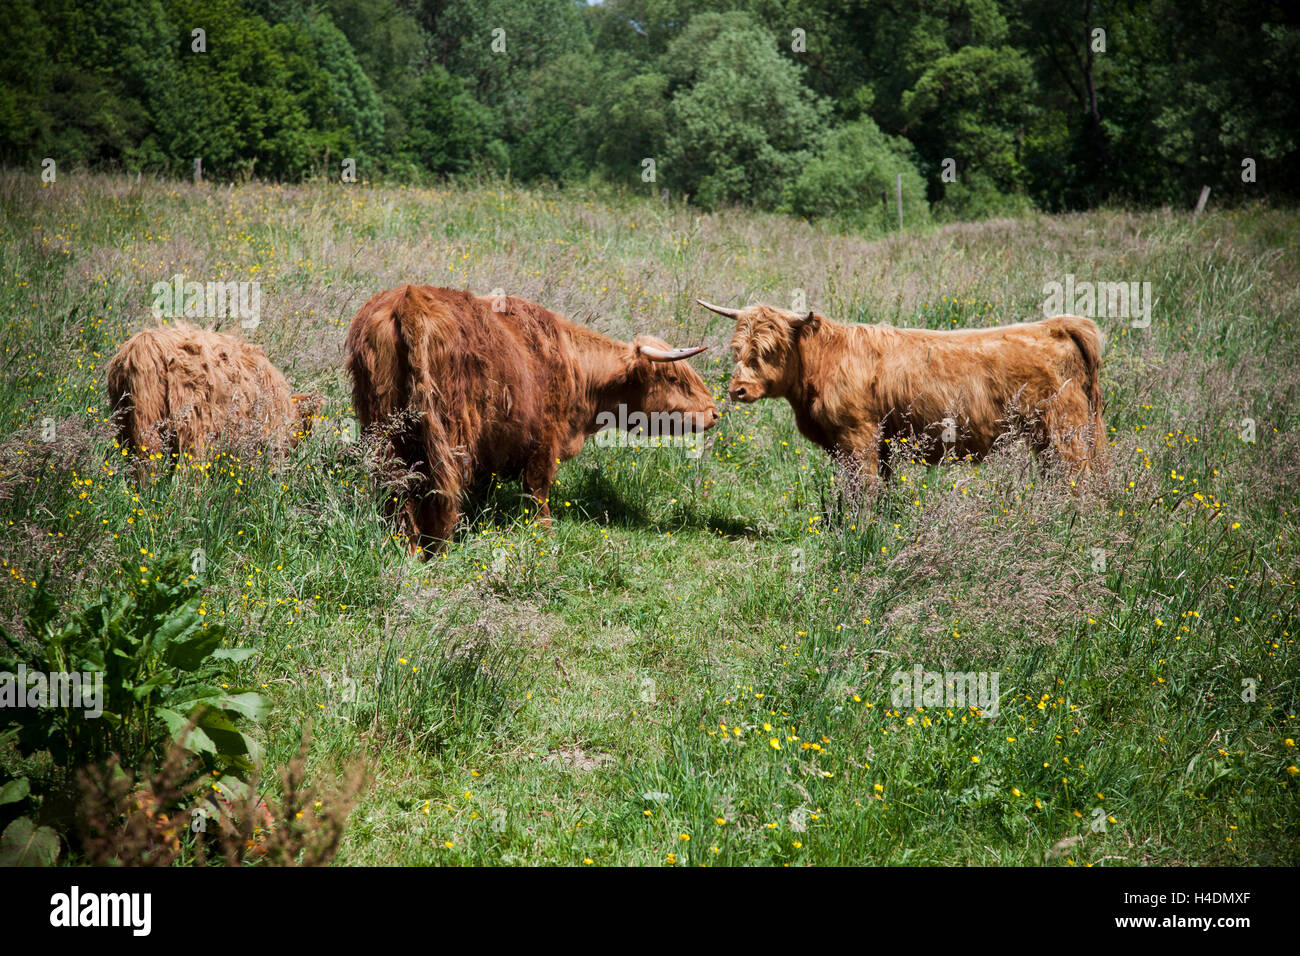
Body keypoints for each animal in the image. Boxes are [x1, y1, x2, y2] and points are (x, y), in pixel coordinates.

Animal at [345, 285, 718, 554]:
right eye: (674, 378)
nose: (714, 412)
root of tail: (410, 300)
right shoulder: (544, 441)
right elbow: (538, 492)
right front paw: (544, 534)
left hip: (383, 430)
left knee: (397, 489)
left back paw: (407, 549)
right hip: (450, 431)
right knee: (441, 488)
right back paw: (439, 548)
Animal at [698, 299, 1106, 483]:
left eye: (769, 351)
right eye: (738, 349)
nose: (738, 390)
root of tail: (1056, 325)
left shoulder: (857, 437)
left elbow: (863, 490)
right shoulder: (881, 445)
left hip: (1064, 430)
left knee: (1079, 477)